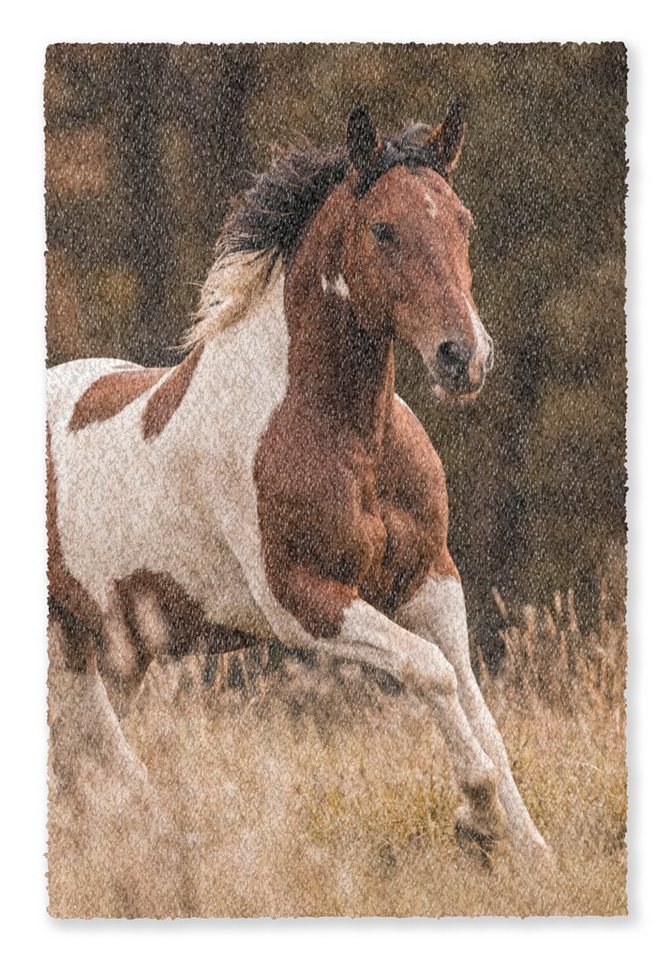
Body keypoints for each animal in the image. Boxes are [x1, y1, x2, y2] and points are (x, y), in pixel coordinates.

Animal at [47, 103, 547, 864]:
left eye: (462, 221)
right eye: (383, 228)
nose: (463, 357)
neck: (342, 432)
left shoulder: (430, 579)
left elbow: (474, 703)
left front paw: (533, 852)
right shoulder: (303, 601)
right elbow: (428, 670)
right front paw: (476, 815)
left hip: (108, 649)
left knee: (86, 752)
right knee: (92, 748)